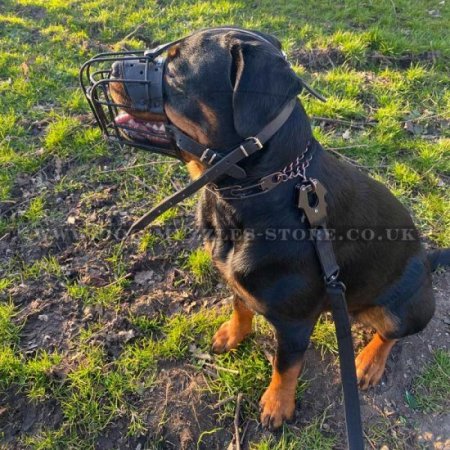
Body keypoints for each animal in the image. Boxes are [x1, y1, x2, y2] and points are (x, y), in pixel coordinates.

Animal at [108, 27, 446, 428]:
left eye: (174, 68)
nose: (113, 66)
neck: (254, 191)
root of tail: (427, 260)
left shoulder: (295, 324)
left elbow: (286, 367)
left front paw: (276, 405)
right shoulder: (238, 281)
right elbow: (240, 306)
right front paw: (232, 335)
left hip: (403, 307)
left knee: (391, 334)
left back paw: (367, 363)